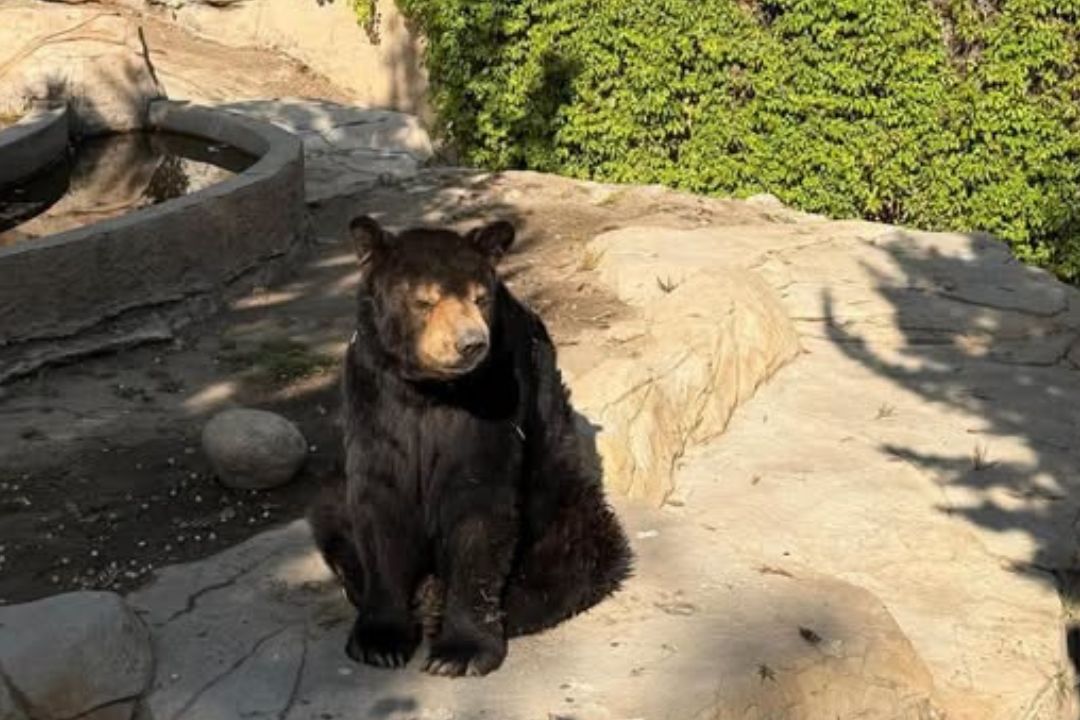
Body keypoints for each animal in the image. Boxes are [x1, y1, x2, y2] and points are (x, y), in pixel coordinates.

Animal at [307, 214, 632, 677]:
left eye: (480, 297)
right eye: (424, 300)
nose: (471, 343)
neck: (429, 390)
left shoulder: (495, 394)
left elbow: (478, 501)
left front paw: (458, 652)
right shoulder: (373, 393)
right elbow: (380, 498)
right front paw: (380, 640)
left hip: (560, 496)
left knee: (571, 555)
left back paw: (445, 601)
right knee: (330, 508)